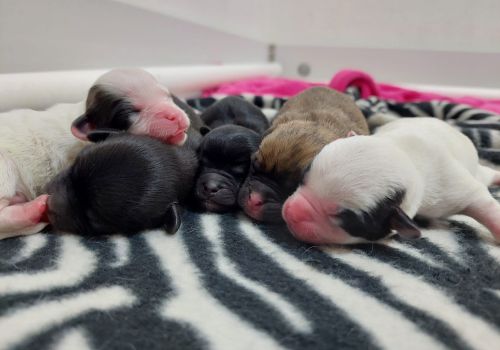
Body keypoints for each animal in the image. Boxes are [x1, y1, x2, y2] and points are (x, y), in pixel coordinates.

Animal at [284, 117, 500, 243]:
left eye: (346, 219)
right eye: (303, 176)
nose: (292, 212)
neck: (404, 154)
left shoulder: (450, 186)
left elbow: (480, 200)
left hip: (474, 170)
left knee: (485, 175)